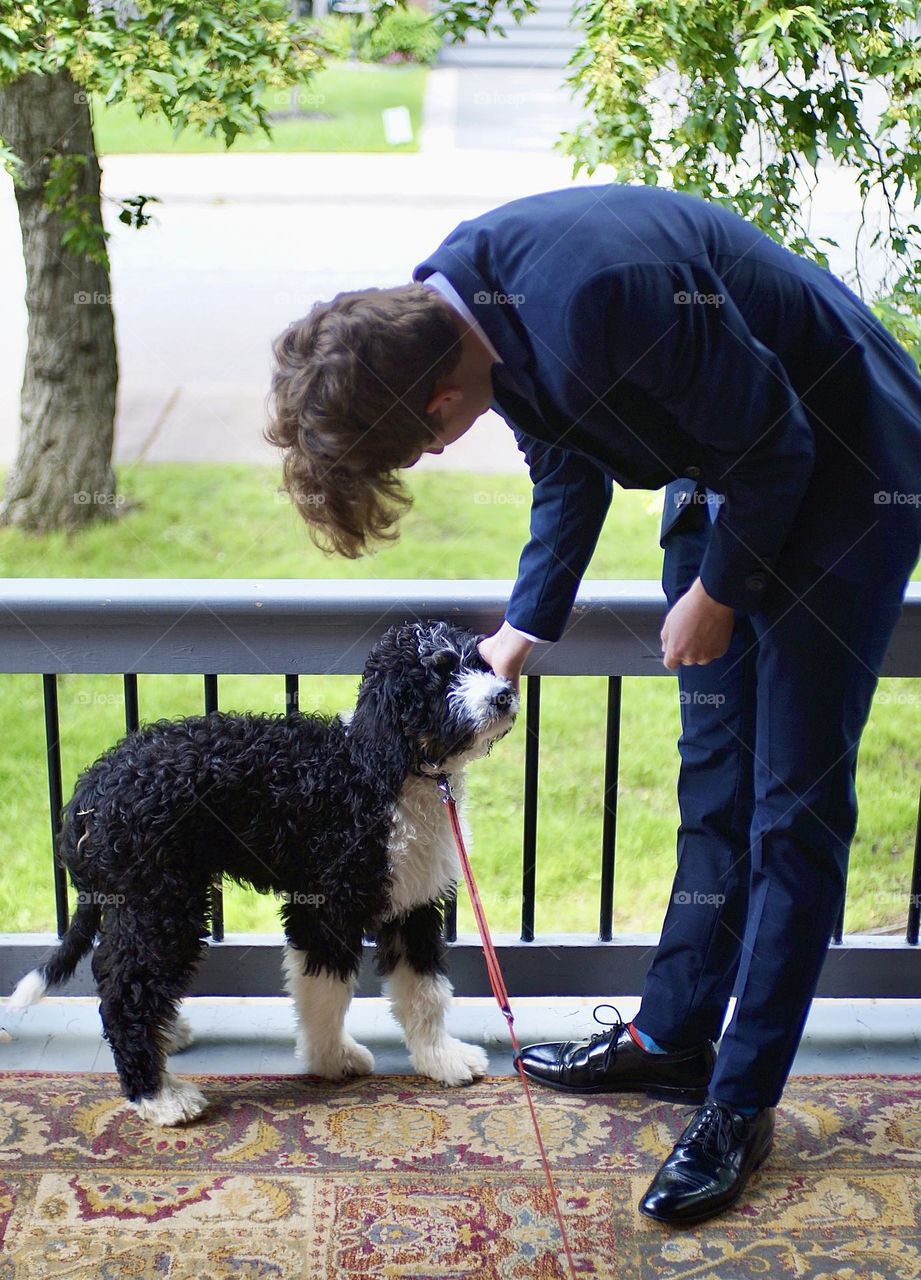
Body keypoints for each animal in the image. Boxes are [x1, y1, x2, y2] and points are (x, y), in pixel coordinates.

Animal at [7, 624, 516, 1126]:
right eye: (439, 675)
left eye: (478, 662)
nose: (505, 694)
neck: (382, 769)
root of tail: (92, 791)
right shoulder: (324, 906)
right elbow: (325, 991)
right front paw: (331, 1059)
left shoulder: (411, 903)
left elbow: (424, 991)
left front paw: (441, 1059)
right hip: (160, 904)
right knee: (123, 991)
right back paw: (158, 1095)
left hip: (139, 901)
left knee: (116, 972)